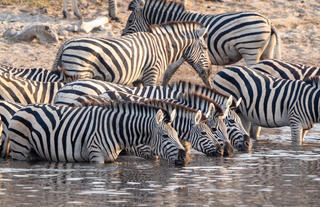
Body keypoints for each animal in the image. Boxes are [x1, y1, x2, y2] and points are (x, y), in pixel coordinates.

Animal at [7, 101, 186, 165]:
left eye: (177, 135)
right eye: (165, 136)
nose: (183, 156)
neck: (116, 130)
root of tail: (22, 108)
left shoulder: (110, 159)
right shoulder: (96, 156)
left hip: (36, 152)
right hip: (20, 150)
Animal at [52, 21, 212, 87]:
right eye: (205, 48)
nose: (210, 72)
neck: (162, 47)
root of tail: (66, 43)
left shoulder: (138, 78)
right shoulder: (151, 74)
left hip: (69, 74)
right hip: (79, 72)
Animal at [122, 0, 280, 83]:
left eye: (129, 21)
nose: (122, 35)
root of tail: (268, 21)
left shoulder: (183, 50)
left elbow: (168, 72)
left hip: (250, 50)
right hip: (266, 51)